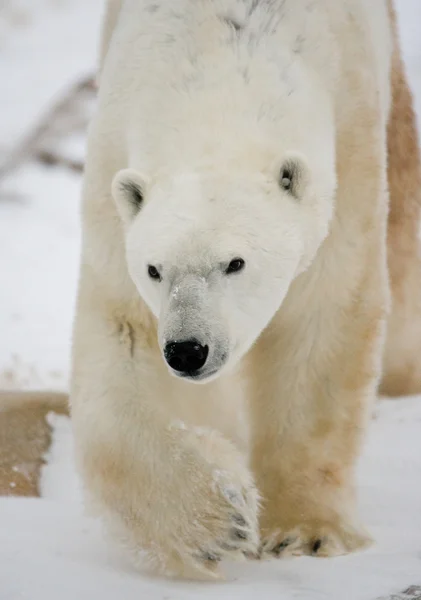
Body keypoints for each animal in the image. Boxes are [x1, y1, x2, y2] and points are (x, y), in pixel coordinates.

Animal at [70, 0, 418, 580]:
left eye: (236, 262)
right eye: (154, 269)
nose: (187, 350)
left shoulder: (351, 141)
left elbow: (319, 326)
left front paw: (305, 531)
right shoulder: (112, 177)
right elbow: (122, 334)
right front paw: (216, 521)